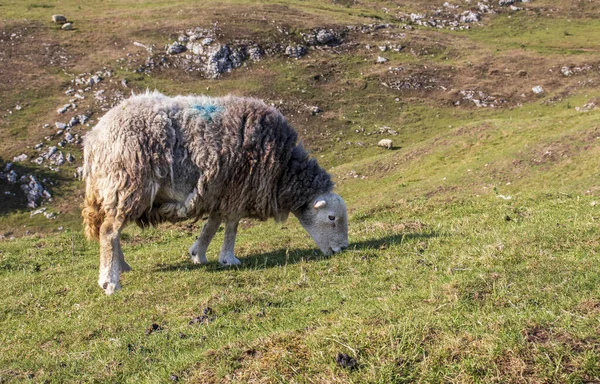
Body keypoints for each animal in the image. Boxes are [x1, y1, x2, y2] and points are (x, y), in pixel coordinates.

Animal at [82, 91, 350, 296]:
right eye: (332, 218)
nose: (343, 249)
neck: (283, 170)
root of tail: (95, 137)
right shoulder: (237, 190)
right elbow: (231, 226)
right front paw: (228, 258)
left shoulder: (219, 191)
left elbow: (212, 224)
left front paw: (198, 253)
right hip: (128, 181)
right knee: (109, 231)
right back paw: (109, 281)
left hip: (116, 188)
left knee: (113, 230)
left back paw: (121, 266)